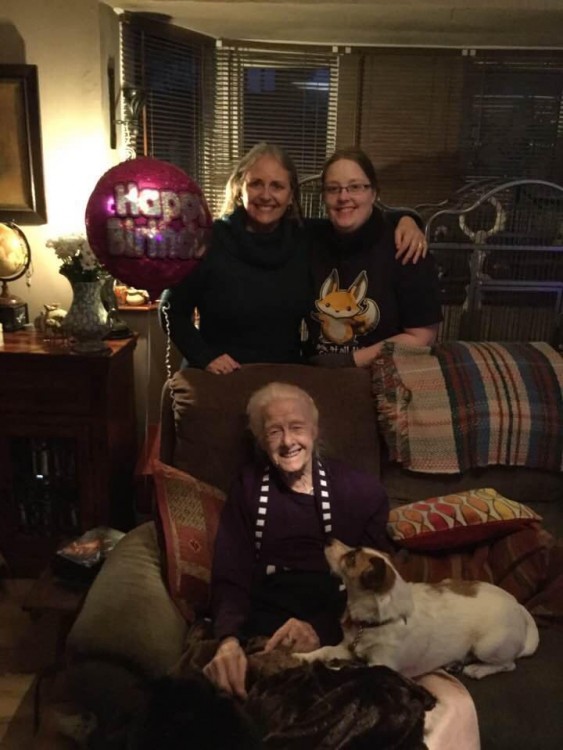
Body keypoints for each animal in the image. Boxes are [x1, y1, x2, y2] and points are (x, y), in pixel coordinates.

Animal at [296, 540, 536, 680]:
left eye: (352, 558)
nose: (328, 539)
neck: (374, 622)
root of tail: (518, 606)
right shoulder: (347, 647)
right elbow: (325, 650)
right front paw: (301, 655)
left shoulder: (383, 665)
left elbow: (358, 669)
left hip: (488, 646)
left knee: (508, 664)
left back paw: (478, 669)